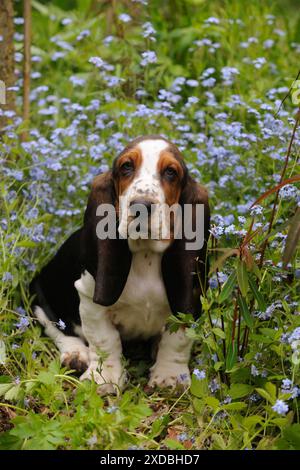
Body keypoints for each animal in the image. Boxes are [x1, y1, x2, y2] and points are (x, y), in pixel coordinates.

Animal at [30, 135, 209, 392]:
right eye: (126, 167)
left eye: (171, 172)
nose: (142, 205)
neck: (145, 254)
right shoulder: (90, 302)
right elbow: (105, 340)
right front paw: (105, 379)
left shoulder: (190, 298)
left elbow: (177, 340)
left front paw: (170, 376)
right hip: (39, 296)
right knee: (58, 328)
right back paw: (76, 355)